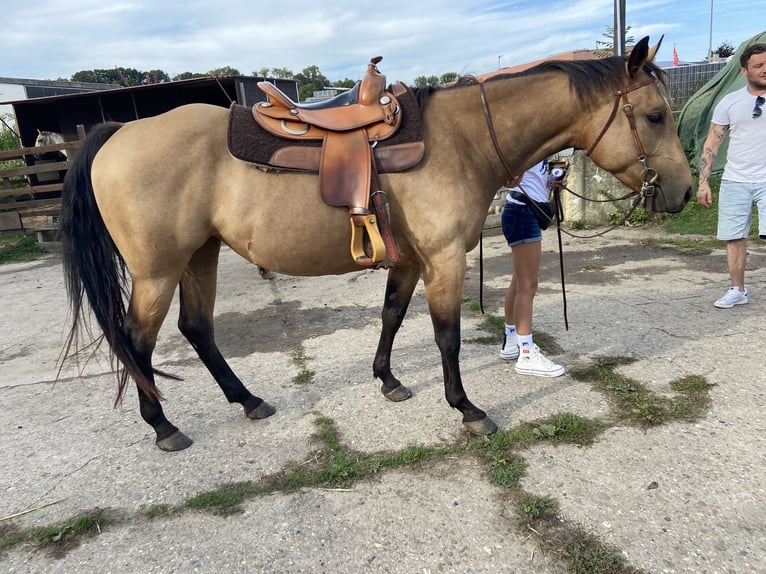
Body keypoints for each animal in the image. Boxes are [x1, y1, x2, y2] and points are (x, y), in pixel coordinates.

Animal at [61, 38, 696, 454]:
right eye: (654, 115)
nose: (687, 191)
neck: (461, 139)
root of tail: (119, 132)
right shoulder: (443, 259)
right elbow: (447, 337)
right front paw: (468, 410)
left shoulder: (411, 259)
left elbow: (391, 315)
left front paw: (388, 381)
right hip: (158, 270)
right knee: (138, 341)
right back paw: (163, 426)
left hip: (200, 256)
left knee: (197, 329)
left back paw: (248, 401)